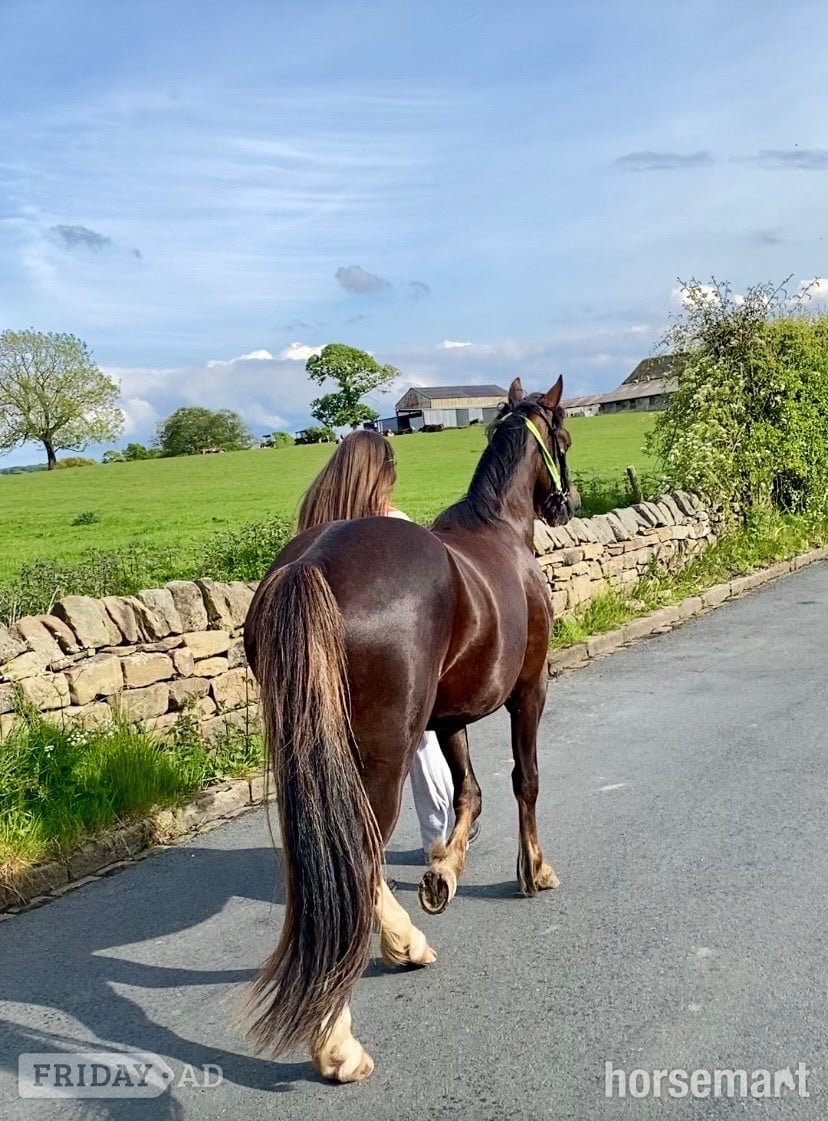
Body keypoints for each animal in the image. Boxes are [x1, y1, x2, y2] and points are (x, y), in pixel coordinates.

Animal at [243, 376, 578, 1082]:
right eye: (563, 435)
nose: (568, 504)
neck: (498, 531)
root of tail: (310, 565)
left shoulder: (448, 716)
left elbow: (468, 792)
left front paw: (443, 872)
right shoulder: (529, 693)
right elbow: (524, 781)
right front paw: (533, 871)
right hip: (380, 755)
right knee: (358, 852)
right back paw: (342, 1033)